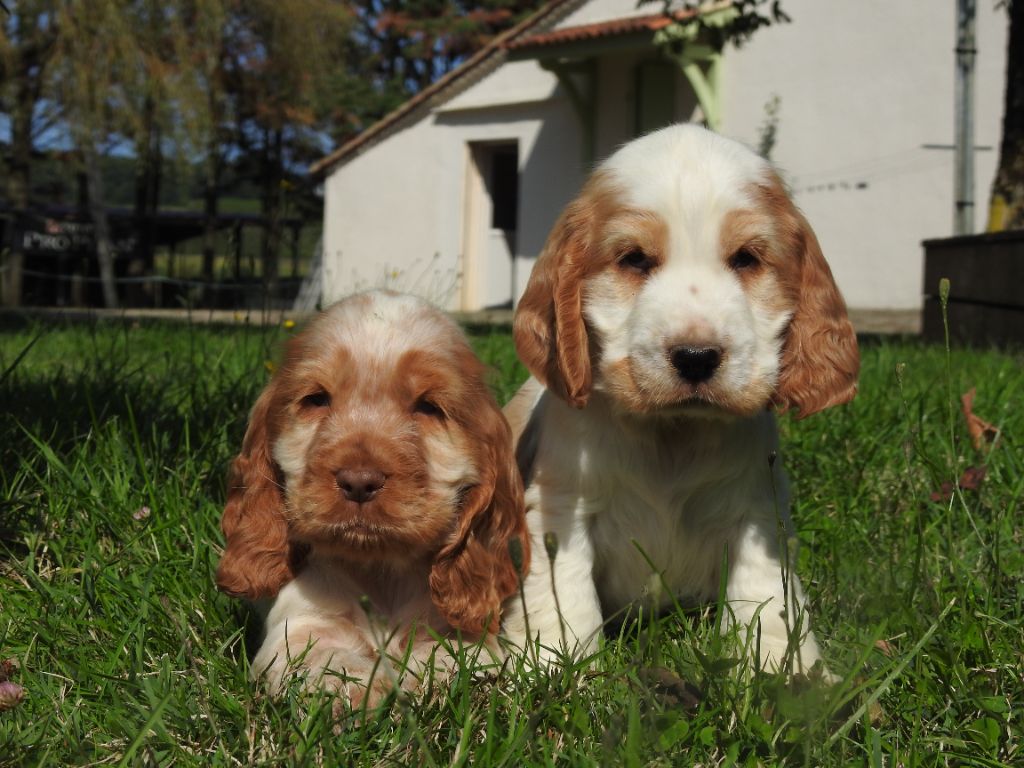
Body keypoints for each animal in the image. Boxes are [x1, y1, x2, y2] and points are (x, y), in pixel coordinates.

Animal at [220, 290, 532, 708]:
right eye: (316, 399)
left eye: (429, 406)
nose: (359, 481)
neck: (380, 570)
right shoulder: (302, 620)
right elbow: (319, 653)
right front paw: (350, 689)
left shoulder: (455, 623)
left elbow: (460, 653)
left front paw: (436, 681)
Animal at [501, 126, 856, 679]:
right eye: (634, 259)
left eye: (746, 258)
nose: (695, 357)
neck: (671, 432)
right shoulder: (562, 509)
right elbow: (565, 596)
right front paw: (558, 670)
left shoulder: (756, 510)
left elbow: (765, 594)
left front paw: (787, 673)